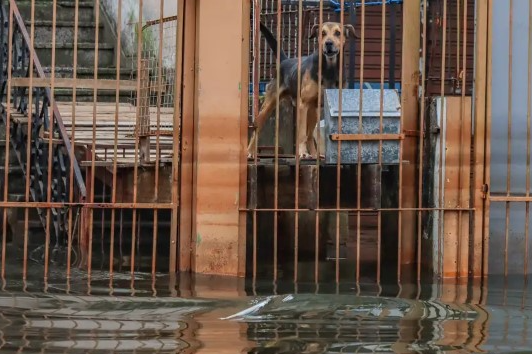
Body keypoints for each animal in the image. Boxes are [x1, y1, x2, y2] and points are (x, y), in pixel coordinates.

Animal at [246, 21, 358, 158]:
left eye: (338, 33)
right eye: (322, 33)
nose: (328, 43)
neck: (329, 69)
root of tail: (285, 61)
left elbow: (309, 134)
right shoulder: (303, 105)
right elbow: (302, 134)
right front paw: (302, 152)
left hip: (314, 111)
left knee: (310, 135)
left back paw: (315, 155)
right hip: (268, 106)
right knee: (257, 128)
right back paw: (250, 151)